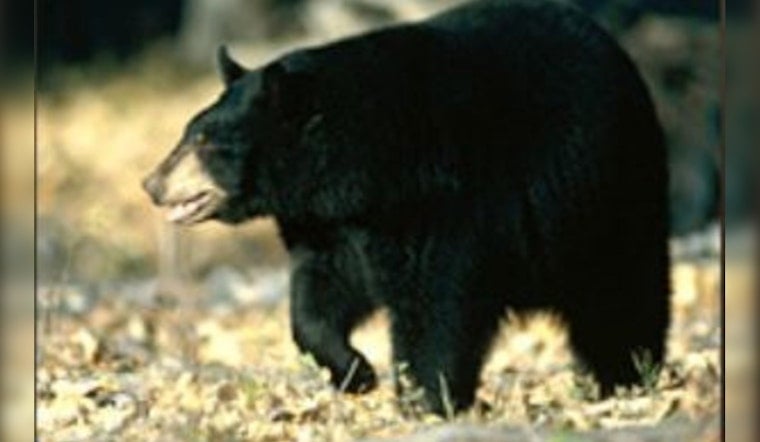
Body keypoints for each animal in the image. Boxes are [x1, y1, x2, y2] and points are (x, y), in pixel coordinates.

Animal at [142, 0, 670, 415]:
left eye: (205, 141)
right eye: (190, 131)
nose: (152, 184)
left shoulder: (443, 200)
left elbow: (438, 300)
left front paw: (425, 400)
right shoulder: (329, 225)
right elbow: (320, 293)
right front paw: (355, 372)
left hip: (607, 192)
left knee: (621, 291)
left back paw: (626, 376)